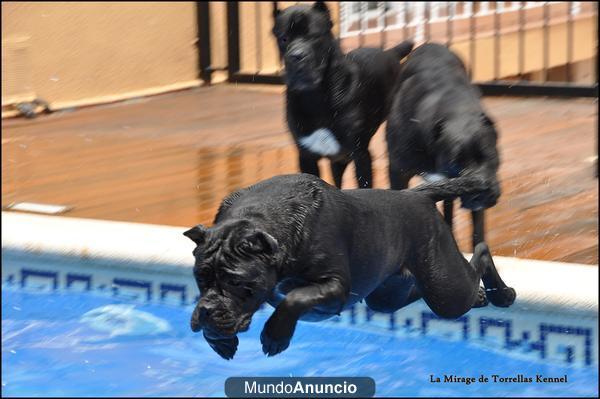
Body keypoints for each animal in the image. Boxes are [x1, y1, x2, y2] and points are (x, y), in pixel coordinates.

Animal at [184, 174, 516, 360]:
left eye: (237, 283)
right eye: (200, 278)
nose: (207, 312)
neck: (261, 218)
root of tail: (414, 194)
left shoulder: (334, 286)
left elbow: (295, 298)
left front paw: (276, 336)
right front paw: (220, 341)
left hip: (445, 289)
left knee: (480, 253)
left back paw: (501, 294)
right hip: (386, 296)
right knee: (413, 291)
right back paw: (482, 297)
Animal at [274, 1, 414, 189]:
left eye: (313, 36)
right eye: (283, 39)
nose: (296, 56)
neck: (316, 96)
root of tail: (389, 53)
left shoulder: (360, 154)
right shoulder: (306, 156)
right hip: (338, 161)